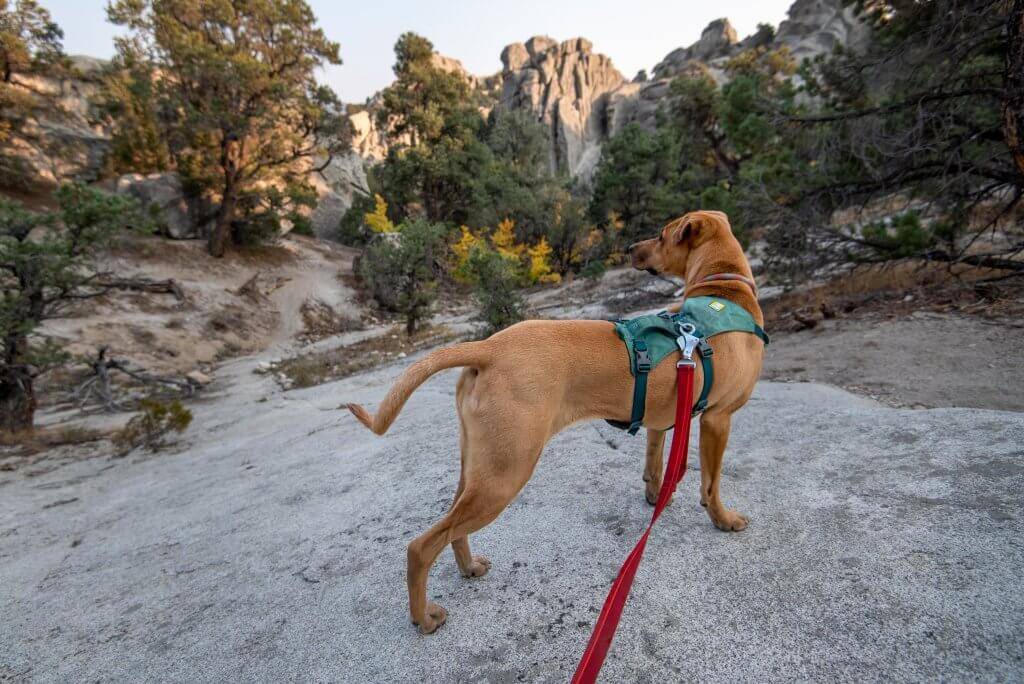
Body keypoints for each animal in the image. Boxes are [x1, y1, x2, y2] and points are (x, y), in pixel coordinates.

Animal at [348, 210, 765, 634]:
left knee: (452, 525)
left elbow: (654, 463)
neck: (725, 289)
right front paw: (724, 520)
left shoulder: (659, 420)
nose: (631, 247)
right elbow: (711, 483)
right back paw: (424, 617)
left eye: (661, 236)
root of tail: (489, 346)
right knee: (420, 546)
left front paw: (655, 495)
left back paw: (468, 567)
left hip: (481, 467)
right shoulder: (718, 419)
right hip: (506, 474)